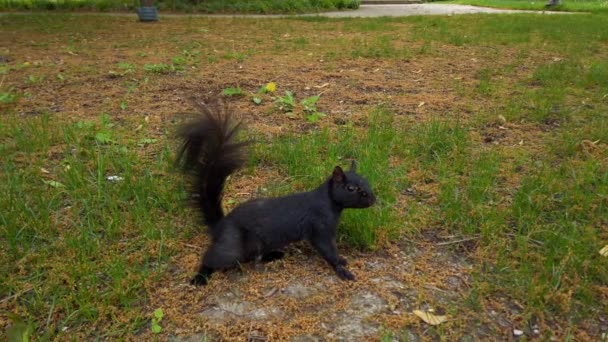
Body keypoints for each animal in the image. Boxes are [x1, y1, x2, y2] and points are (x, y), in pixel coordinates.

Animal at [176, 102, 376, 286]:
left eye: (366, 181)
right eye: (351, 188)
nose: (373, 199)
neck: (329, 203)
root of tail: (220, 225)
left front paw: (341, 261)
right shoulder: (319, 229)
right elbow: (327, 250)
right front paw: (342, 269)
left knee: (249, 257)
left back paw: (274, 255)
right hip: (231, 246)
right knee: (212, 258)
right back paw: (200, 277)